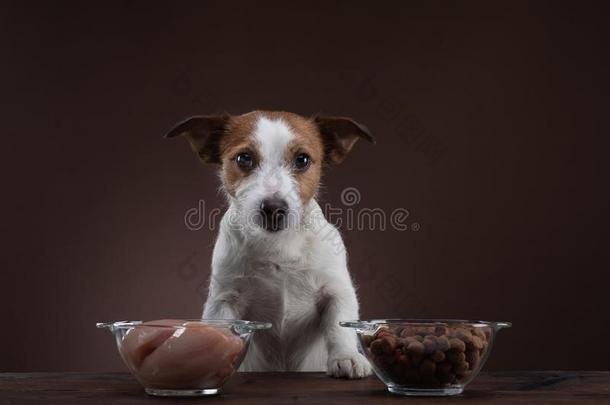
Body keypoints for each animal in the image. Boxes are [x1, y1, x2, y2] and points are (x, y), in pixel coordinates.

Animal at [167, 110, 376, 378]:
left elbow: (338, 326)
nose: (274, 209)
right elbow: (223, 329)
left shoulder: (336, 290)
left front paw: (346, 356)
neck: (278, 245)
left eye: (302, 160)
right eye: (244, 158)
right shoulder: (224, 299)